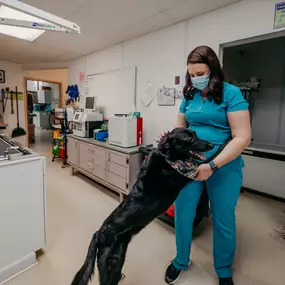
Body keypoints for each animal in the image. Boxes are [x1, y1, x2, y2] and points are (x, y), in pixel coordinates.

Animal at [71, 127, 213, 284]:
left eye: (196, 134)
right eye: (190, 139)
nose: (212, 145)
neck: (167, 157)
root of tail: (99, 233)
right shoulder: (189, 174)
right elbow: (203, 164)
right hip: (112, 263)